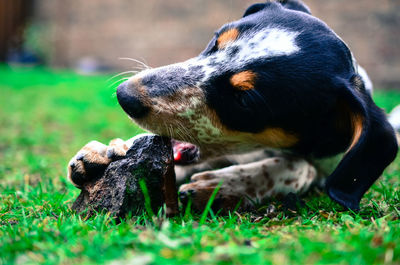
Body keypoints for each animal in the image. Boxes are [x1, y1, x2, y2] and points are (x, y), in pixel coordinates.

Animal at [68, 0, 396, 210]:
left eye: (245, 99)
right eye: (215, 42)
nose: (124, 95)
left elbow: (299, 168)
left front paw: (222, 186)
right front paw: (110, 149)